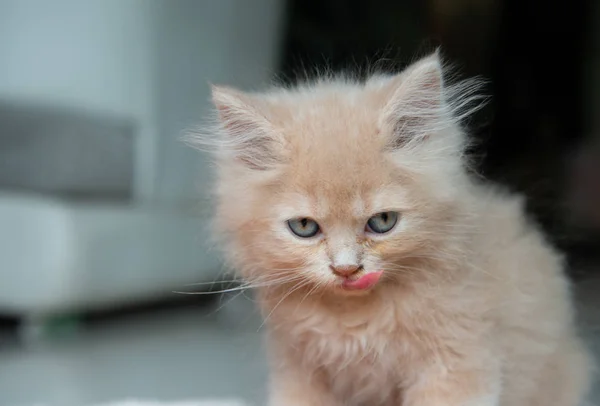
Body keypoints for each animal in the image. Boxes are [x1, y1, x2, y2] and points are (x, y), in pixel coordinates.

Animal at [191, 51, 592, 406]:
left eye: (382, 222)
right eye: (304, 227)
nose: (346, 269)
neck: (355, 318)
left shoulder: (457, 363)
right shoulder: (299, 370)